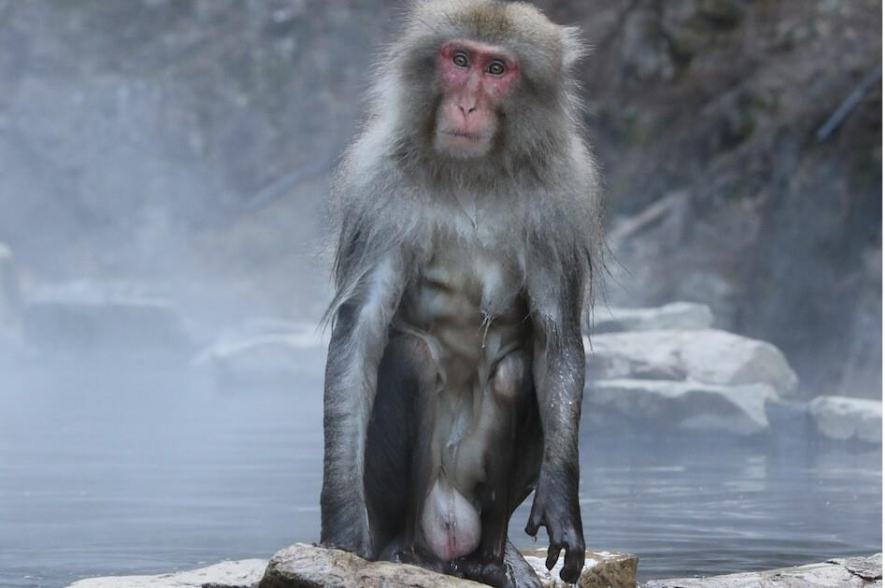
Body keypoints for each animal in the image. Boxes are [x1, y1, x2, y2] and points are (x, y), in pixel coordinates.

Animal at [320, 1, 603, 586]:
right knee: (409, 355)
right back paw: (403, 551)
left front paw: (562, 500)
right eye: (458, 60)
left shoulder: (562, 197)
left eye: (496, 69)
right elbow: (362, 325)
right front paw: (341, 523)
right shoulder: (379, 185)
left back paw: (489, 561)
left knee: (519, 371)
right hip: (412, 508)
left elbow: (556, 334)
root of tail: (447, 537)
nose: (468, 104)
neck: (475, 172)